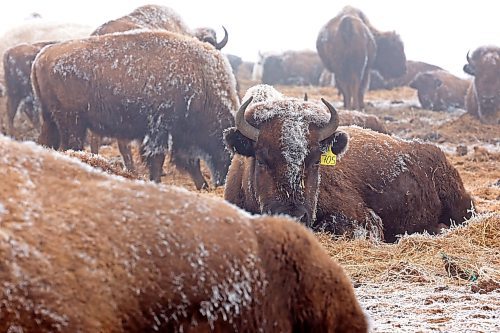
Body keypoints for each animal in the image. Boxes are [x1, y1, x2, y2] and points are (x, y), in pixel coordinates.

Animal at [32, 29, 239, 189]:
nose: (222, 181)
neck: (203, 83)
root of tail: (42, 56)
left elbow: (189, 162)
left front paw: (202, 186)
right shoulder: (161, 133)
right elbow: (160, 161)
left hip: (51, 119)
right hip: (71, 122)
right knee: (71, 146)